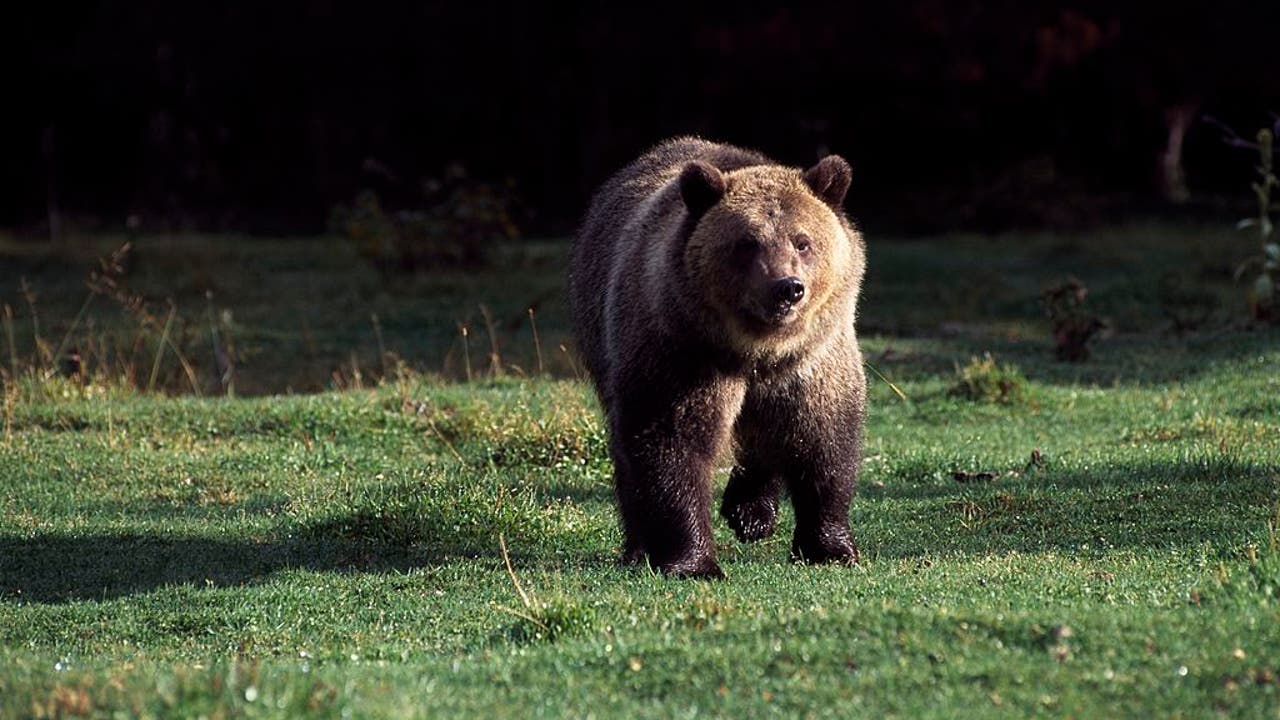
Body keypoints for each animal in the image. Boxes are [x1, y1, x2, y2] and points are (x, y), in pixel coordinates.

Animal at [573, 137, 865, 576]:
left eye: (802, 241)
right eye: (747, 243)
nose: (787, 288)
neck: (758, 349)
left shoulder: (813, 360)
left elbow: (822, 440)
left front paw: (829, 547)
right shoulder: (683, 352)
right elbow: (672, 441)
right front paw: (692, 561)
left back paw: (751, 512)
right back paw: (639, 546)